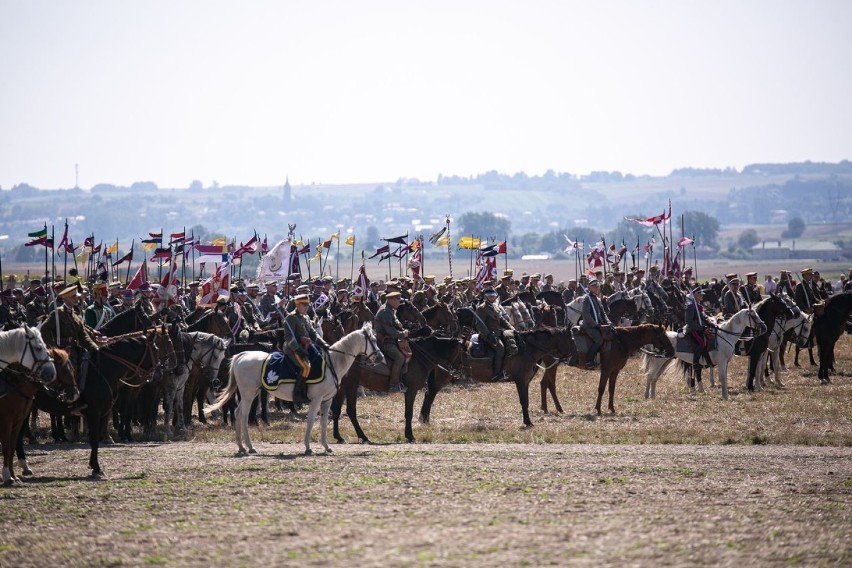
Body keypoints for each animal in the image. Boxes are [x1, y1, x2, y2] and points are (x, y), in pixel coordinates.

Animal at [205, 324, 382, 458]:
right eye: (372, 340)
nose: (380, 357)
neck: (331, 363)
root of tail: (241, 355)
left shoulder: (326, 401)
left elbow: (324, 422)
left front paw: (326, 446)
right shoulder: (316, 400)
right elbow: (311, 421)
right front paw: (308, 447)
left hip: (251, 393)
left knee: (237, 413)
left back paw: (243, 447)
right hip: (248, 395)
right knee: (243, 415)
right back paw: (248, 446)